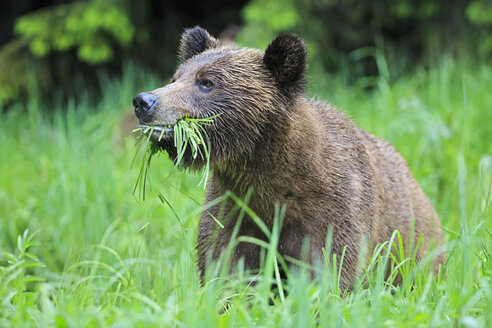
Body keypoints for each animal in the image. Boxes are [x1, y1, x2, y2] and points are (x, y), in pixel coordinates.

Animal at [134, 26, 446, 290]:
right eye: (176, 77)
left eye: (207, 82)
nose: (144, 101)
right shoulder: (234, 207)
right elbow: (225, 264)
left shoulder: (332, 209)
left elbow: (331, 267)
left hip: (413, 246)